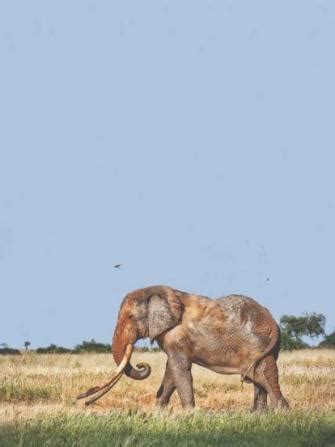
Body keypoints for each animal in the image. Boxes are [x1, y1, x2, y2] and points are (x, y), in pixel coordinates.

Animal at [78, 286, 288, 412]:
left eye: (130, 317)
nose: (82, 398)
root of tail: (272, 320)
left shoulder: (176, 336)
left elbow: (179, 368)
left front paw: (189, 413)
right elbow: (171, 370)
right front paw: (159, 412)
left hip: (258, 343)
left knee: (265, 375)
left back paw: (280, 412)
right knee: (259, 380)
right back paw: (258, 415)